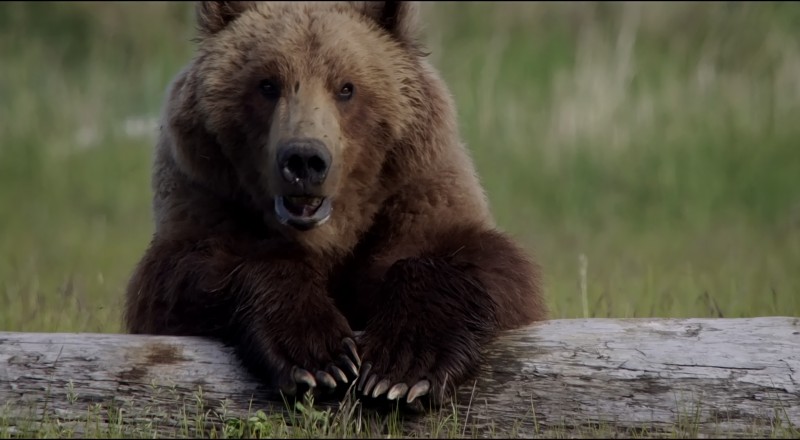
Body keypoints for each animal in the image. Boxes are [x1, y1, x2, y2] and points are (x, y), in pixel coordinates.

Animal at [125, 0, 548, 410]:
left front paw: (400, 368)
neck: (331, 233)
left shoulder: (415, 191)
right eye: (267, 84)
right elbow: (188, 273)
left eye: (346, 87)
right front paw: (319, 357)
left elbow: (470, 257)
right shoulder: (206, 198)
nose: (304, 160)